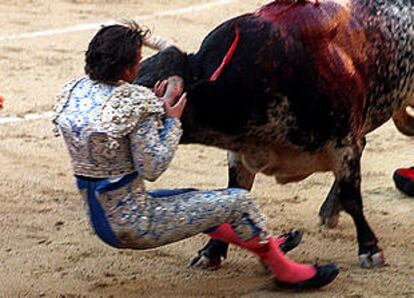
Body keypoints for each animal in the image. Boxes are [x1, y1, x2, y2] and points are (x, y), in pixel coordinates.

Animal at [136, 0, 414, 268]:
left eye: (154, 89)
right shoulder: (240, 154)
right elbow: (235, 197)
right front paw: (211, 252)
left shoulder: (343, 145)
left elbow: (353, 199)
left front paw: (370, 250)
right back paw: (329, 211)